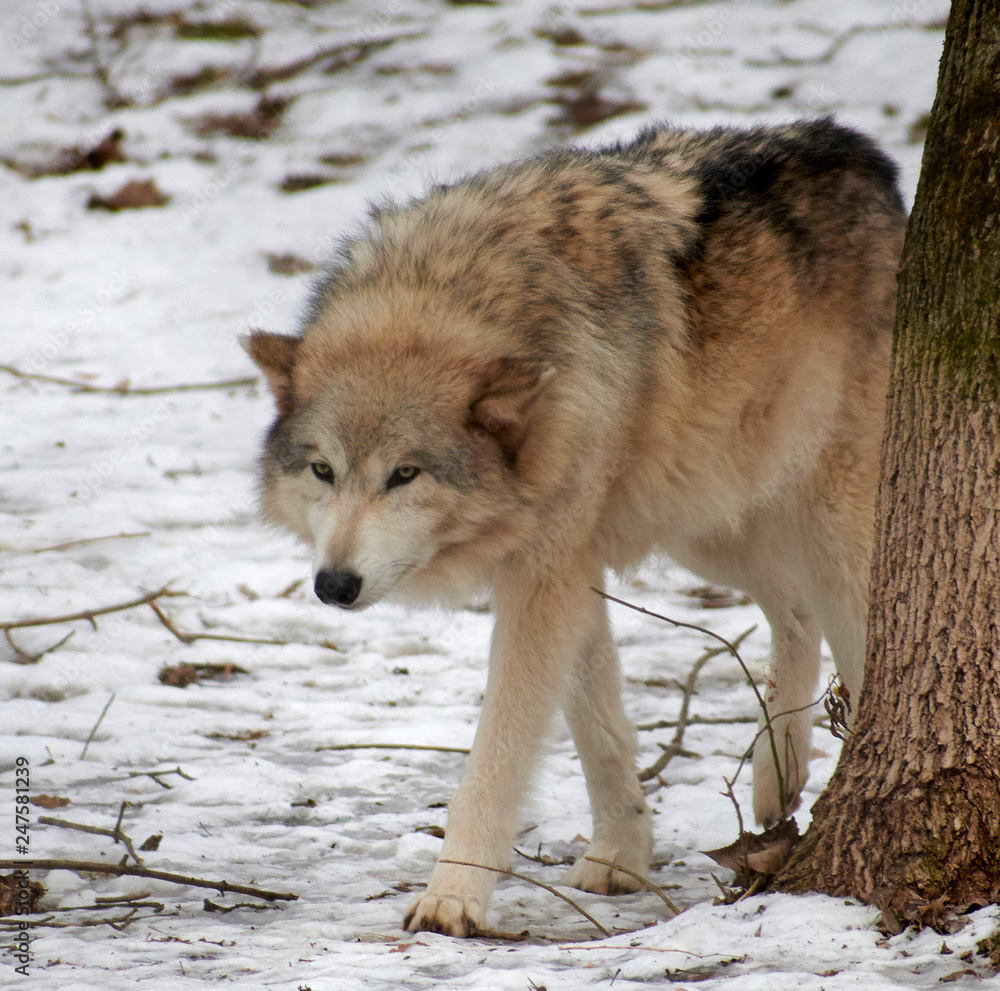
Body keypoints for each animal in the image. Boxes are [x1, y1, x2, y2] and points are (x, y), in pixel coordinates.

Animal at [244, 117, 905, 936]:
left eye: (405, 474)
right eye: (322, 471)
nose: (334, 584)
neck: (459, 289)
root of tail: (863, 153)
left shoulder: (545, 573)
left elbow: (499, 749)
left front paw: (452, 897)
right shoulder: (568, 560)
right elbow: (599, 728)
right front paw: (622, 853)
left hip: (822, 518)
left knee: (860, 633)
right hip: (707, 522)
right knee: (793, 611)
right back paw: (775, 780)